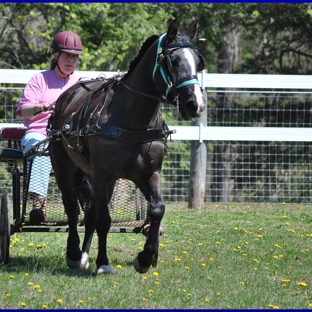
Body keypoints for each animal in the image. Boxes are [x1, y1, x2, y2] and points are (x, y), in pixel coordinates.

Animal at [48, 19, 205, 274]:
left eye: (198, 62)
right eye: (173, 61)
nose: (195, 105)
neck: (134, 118)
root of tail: (66, 96)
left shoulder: (147, 174)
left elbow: (157, 210)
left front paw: (146, 258)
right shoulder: (102, 173)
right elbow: (104, 220)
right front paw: (103, 263)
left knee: (90, 213)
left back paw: (84, 255)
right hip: (64, 166)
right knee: (72, 207)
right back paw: (73, 253)